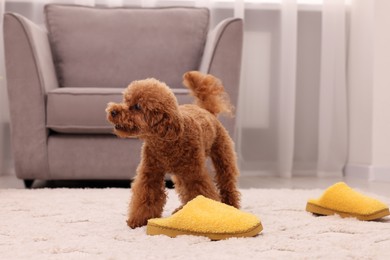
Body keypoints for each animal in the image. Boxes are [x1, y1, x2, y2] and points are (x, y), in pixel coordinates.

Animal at [106, 70, 241, 228]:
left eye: (138, 106)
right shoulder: (150, 172)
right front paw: (138, 220)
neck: (165, 140)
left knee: (227, 181)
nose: (113, 111)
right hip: (180, 174)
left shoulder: (195, 174)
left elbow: (200, 193)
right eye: (126, 100)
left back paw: (231, 206)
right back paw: (180, 210)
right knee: (184, 191)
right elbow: (146, 195)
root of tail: (206, 110)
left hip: (222, 155)